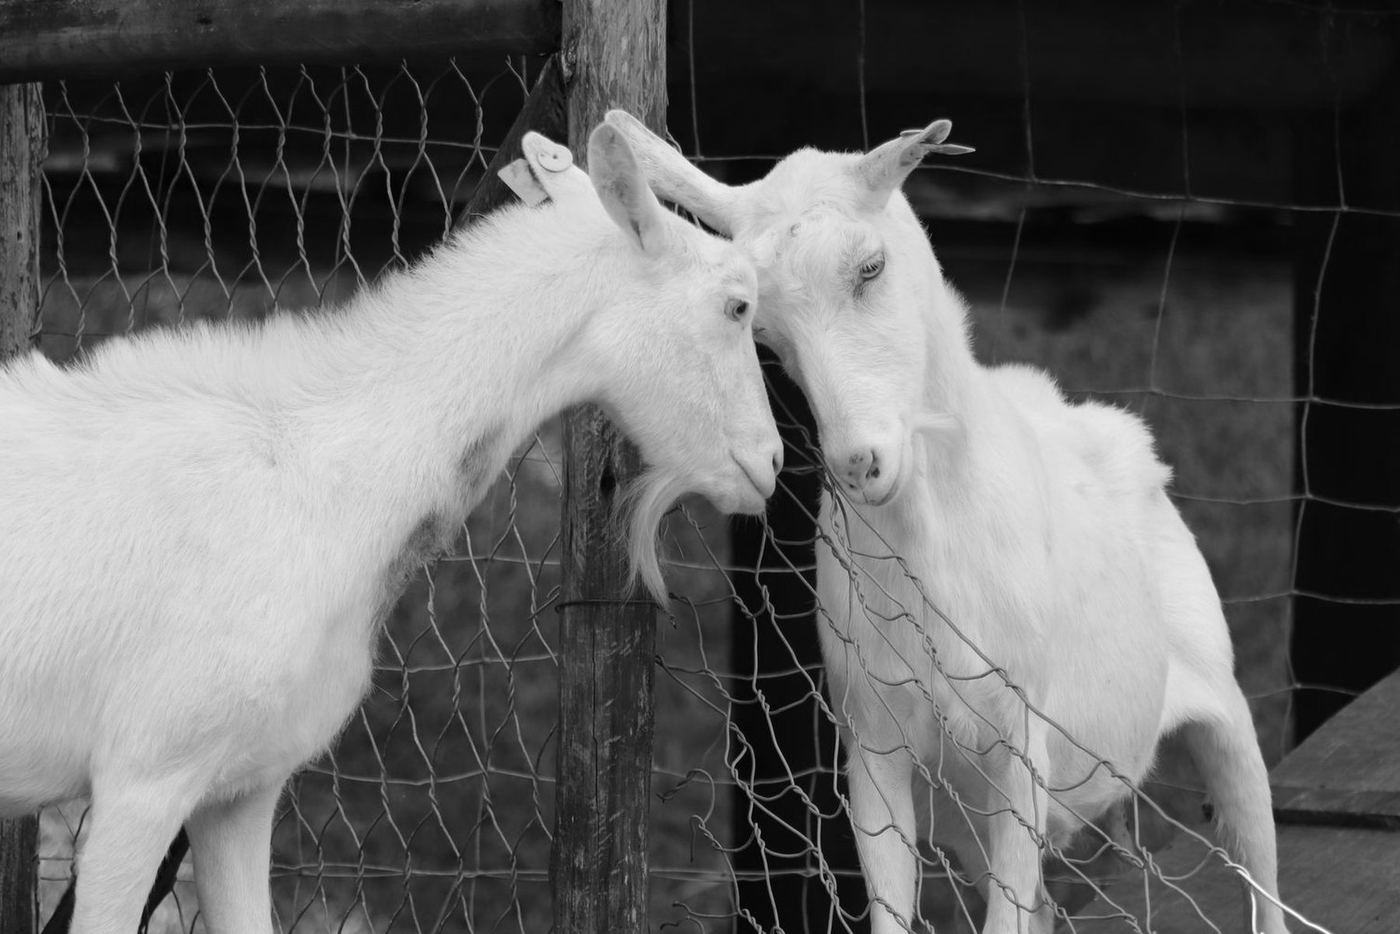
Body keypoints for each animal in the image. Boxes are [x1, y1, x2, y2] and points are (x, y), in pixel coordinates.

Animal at [607, 110, 1288, 934]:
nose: (860, 461)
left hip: (1223, 713)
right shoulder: (873, 749)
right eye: (762, 329)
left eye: (871, 267)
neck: (926, 543)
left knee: (1263, 876)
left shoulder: (1021, 745)